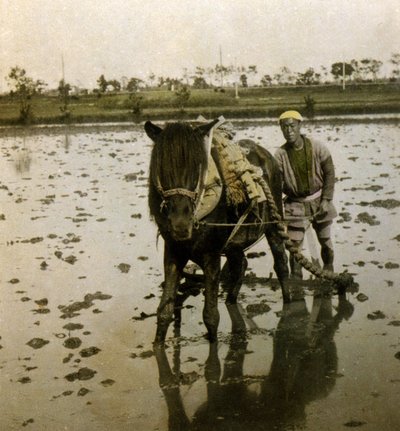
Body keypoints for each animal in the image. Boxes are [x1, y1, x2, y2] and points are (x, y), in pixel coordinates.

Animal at [145, 120, 290, 346]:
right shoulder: (173, 252)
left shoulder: (211, 254)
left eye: (197, 168)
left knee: (281, 263)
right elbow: (164, 311)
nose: (180, 224)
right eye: (162, 167)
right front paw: (157, 345)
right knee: (240, 265)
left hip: (273, 223)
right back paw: (231, 301)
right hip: (234, 244)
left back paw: (290, 306)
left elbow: (211, 316)